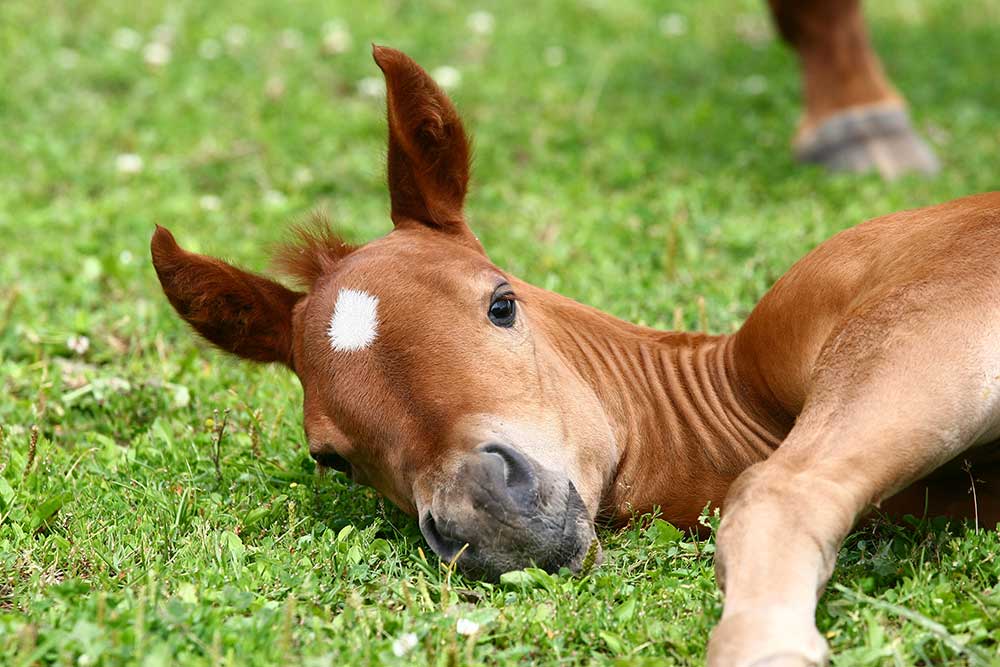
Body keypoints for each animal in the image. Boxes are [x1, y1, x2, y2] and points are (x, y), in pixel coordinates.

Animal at [150, 44, 1000, 664]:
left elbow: (781, 490)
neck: (726, 391)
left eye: (501, 304)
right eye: (331, 459)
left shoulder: (929, 320)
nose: (487, 515)